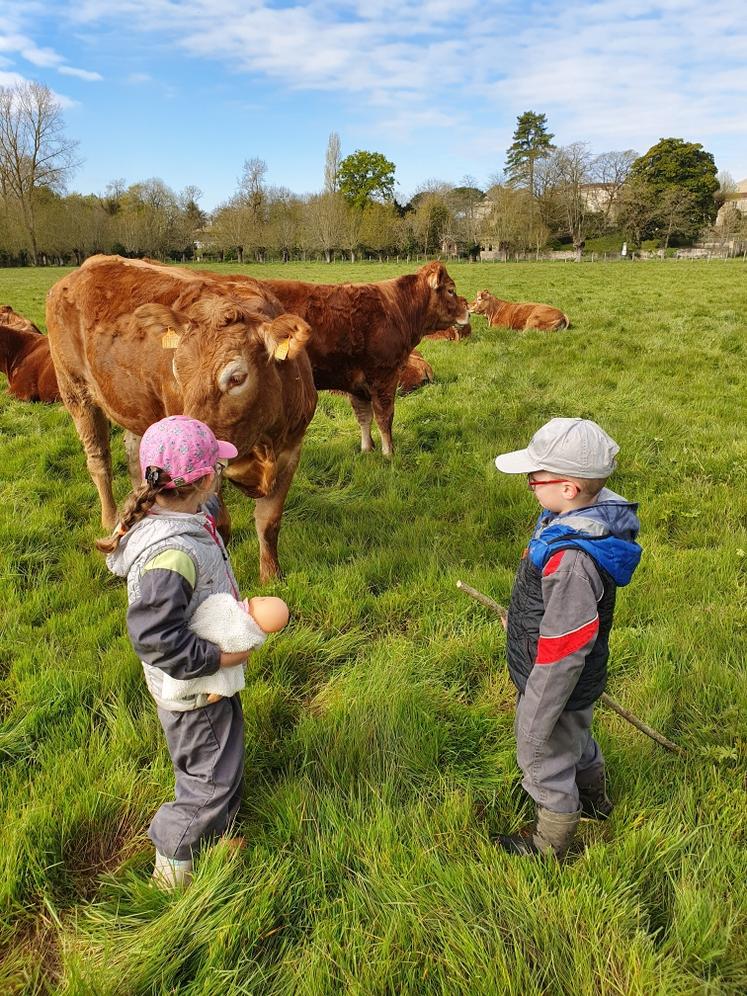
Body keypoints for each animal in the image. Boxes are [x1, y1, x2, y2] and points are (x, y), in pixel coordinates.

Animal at [46, 256, 316, 580]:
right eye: (177, 370)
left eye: (237, 377)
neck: (261, 442)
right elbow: (220, 524)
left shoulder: (291, 448)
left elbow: (269, 521)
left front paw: (271, 577)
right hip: (74, 391)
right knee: (98, 460)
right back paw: (109, 517)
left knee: (134, 454)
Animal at [199, 260, 468, 456]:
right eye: (451, 290)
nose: (467, 309)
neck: (397, 310)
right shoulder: (384, 376)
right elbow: (384, 417)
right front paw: (389, 453)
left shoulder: (358, 383)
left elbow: (363, 417)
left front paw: (367, 449)